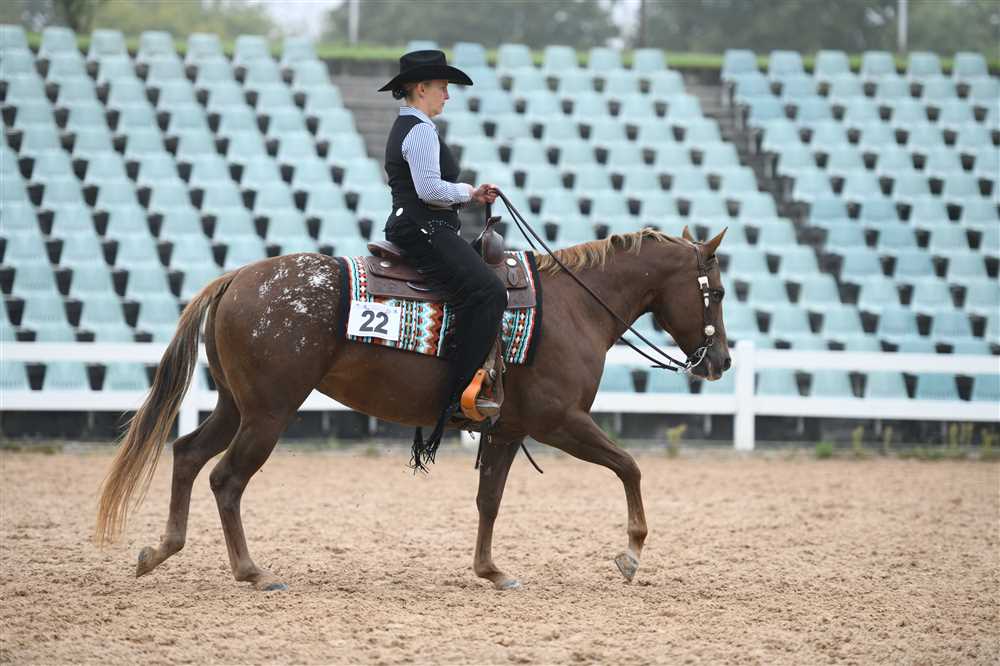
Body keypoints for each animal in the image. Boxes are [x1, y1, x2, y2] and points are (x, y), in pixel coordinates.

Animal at [94, 226, 731, 591]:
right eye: (718, 292)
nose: (720, 360)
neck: (572, 307)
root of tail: (236, 279)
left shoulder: (507, 429)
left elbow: (490, 500)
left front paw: (491, 571)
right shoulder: (560, 422)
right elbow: (629, 466)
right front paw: (631, 553)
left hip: (236, 407)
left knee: (187, 454)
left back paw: (161, 550)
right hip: (268, 414)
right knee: (226, 478)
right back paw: (251, 572)